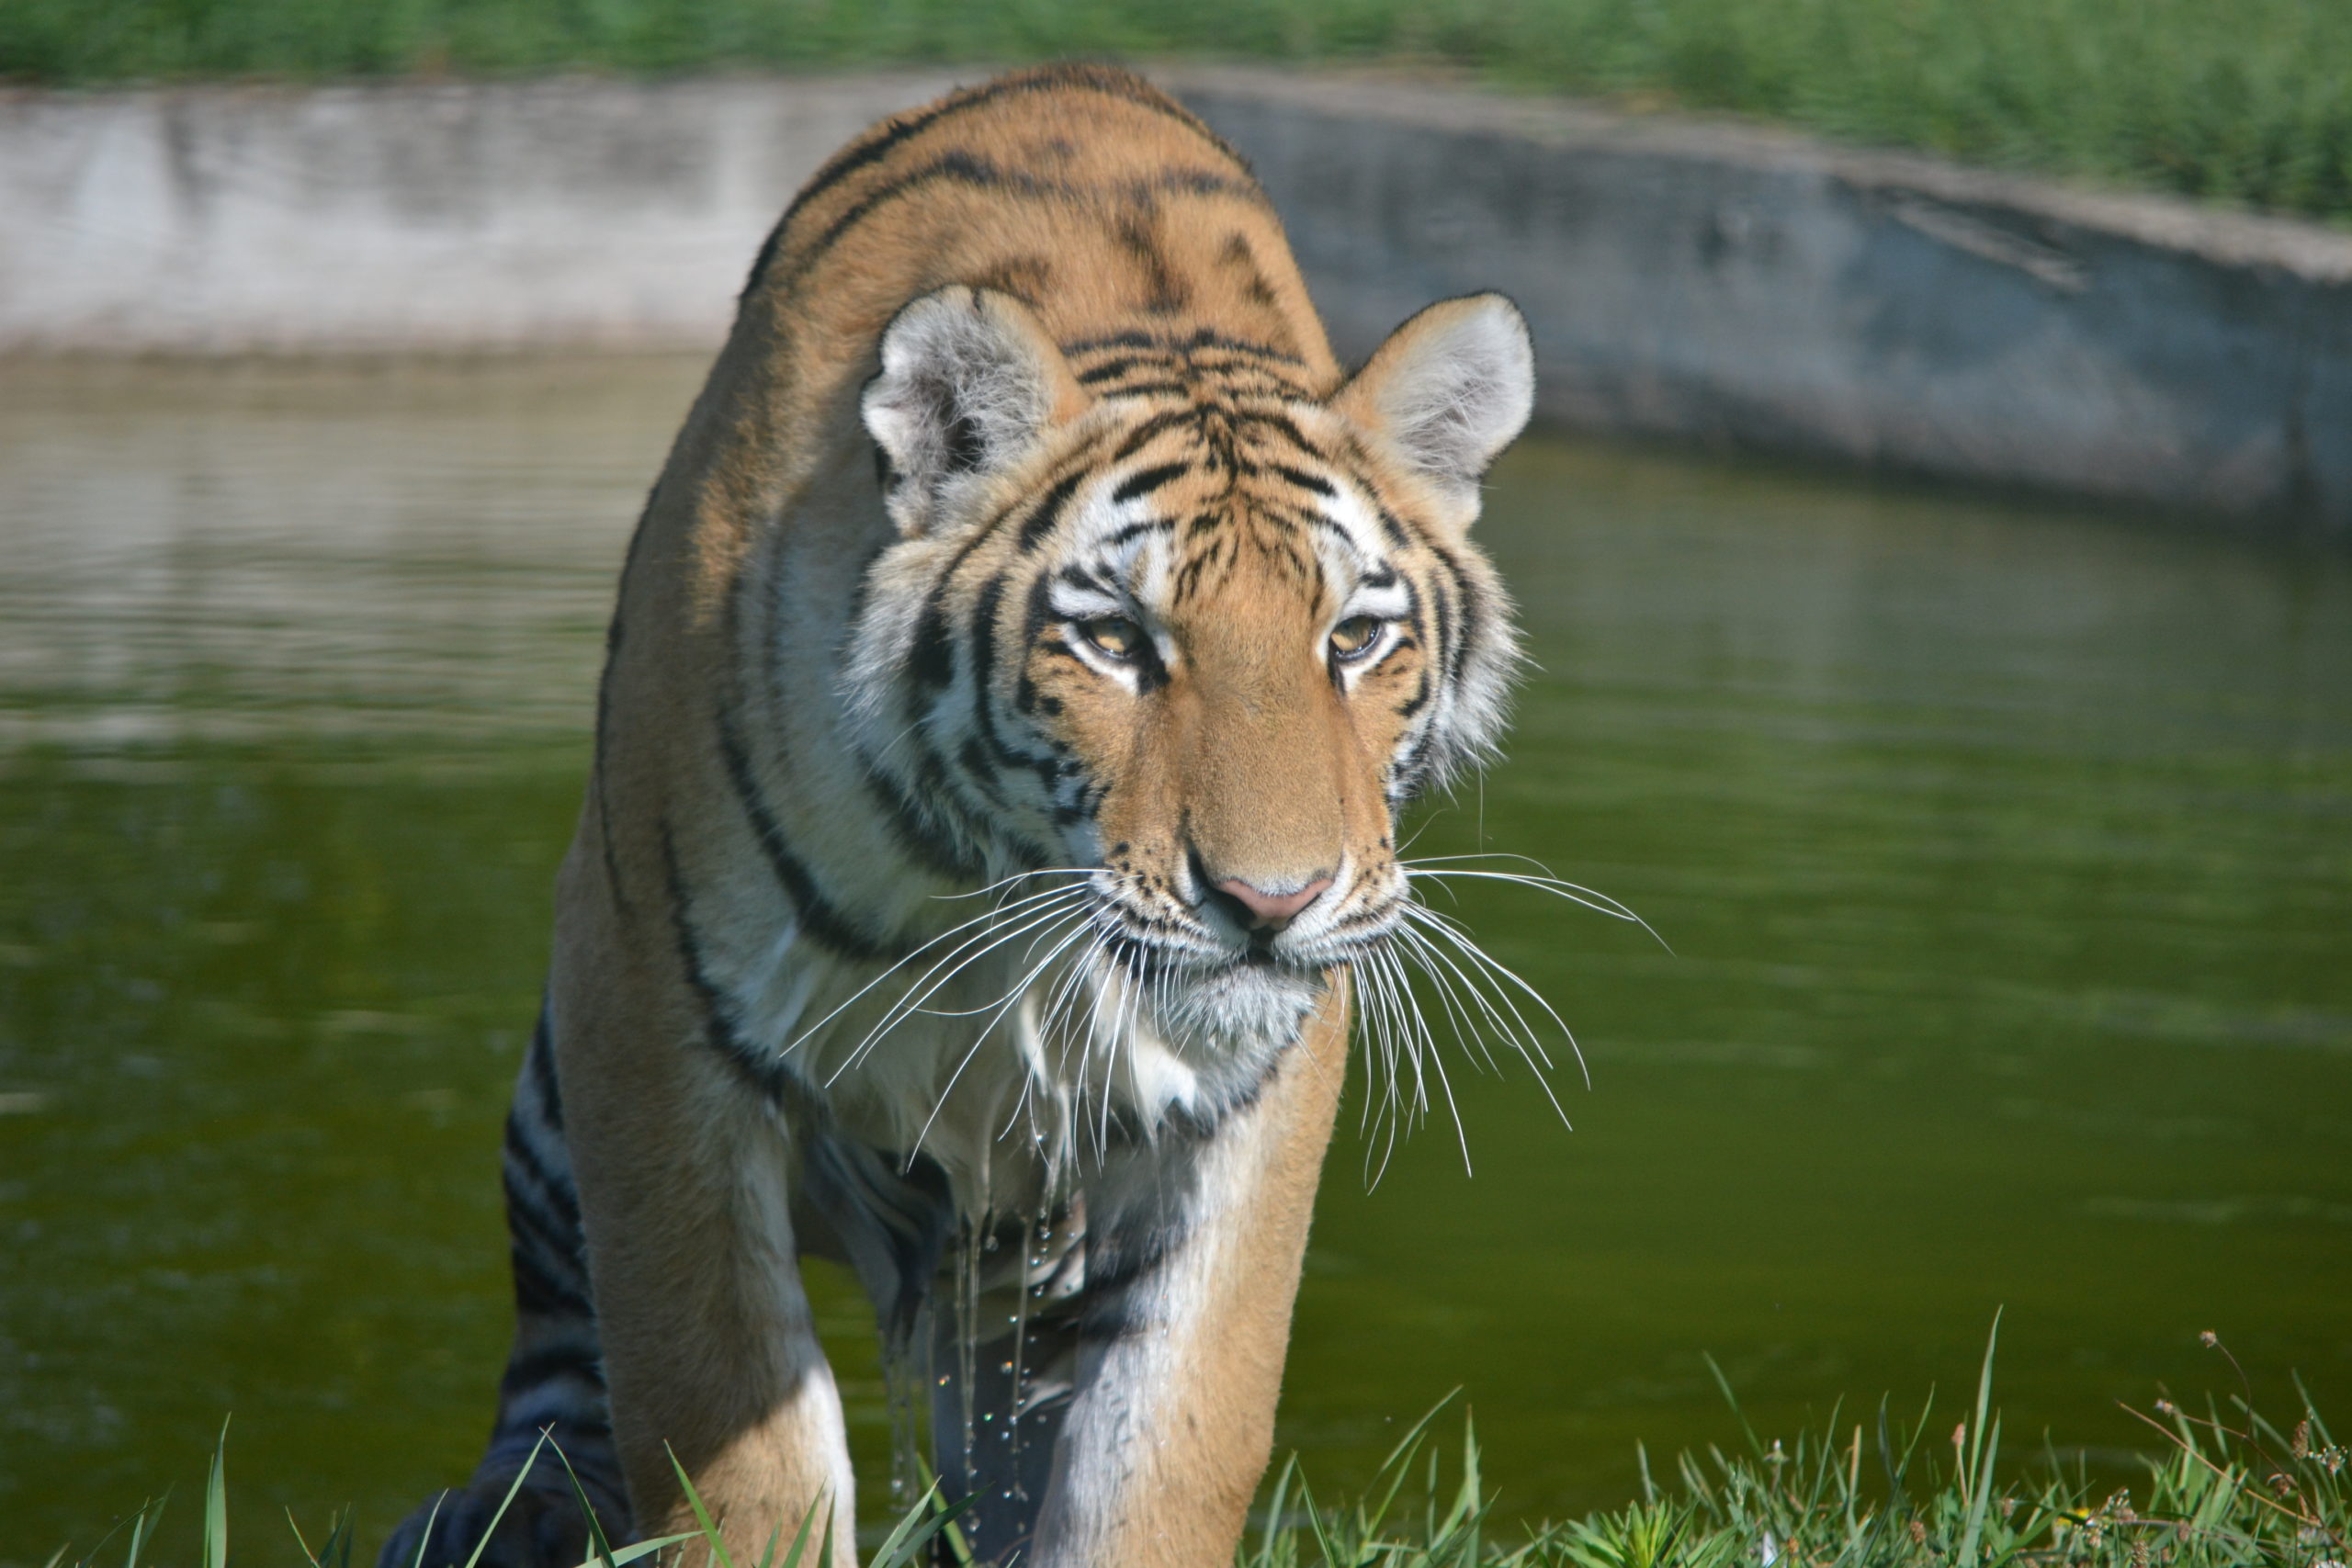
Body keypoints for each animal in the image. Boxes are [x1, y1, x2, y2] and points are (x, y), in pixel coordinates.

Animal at [379, 61, 1533, 1568]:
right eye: (1114, 641)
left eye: (1352, 639)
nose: (1269, 905)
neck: (1010, 893)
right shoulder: (651, 1015)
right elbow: (725, 1428)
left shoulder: (1256, 1090)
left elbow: (1175, 1434)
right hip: (559, 1102)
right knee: (564, 1379)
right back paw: (490, 1516)